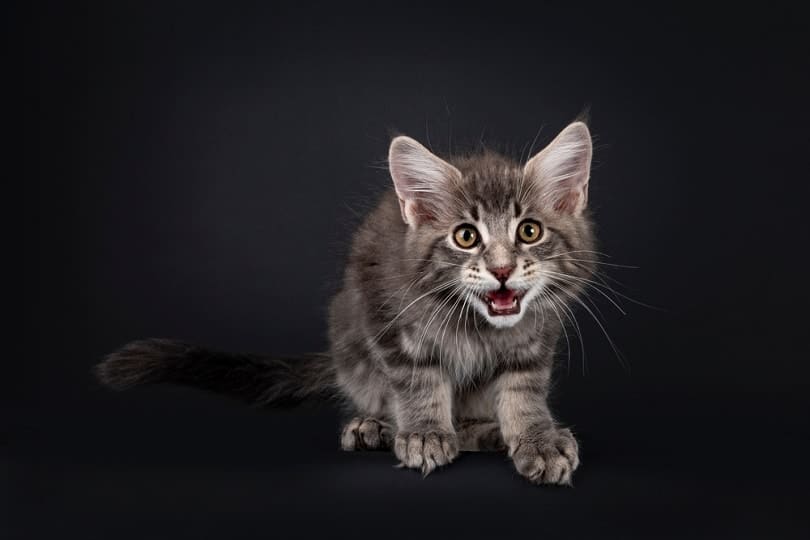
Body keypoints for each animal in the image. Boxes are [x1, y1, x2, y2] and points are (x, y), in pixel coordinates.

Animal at [98, 121, 596, 486]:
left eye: (529, 231)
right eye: (466, 237)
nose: (502, 270)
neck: (474, 323)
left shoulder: (534, 340)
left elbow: (523, 390)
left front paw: (537, 439)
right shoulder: (387, 318)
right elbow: (419, 382)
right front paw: (424, 432)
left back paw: (487, 432)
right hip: (353, 345)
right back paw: (375, 428)